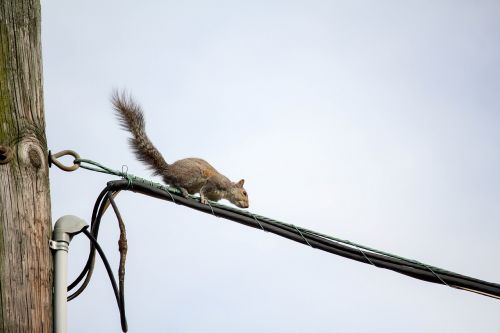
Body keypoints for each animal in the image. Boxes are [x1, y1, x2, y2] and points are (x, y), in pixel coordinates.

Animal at [110, 91, 249, 208]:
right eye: (244, 193)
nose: (247, 206)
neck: (226, 191)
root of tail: (168, 169)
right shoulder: (215, 182)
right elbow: (204, 190)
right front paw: (203, 198)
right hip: (193, 174)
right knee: (176, 183)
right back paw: (183, 190)